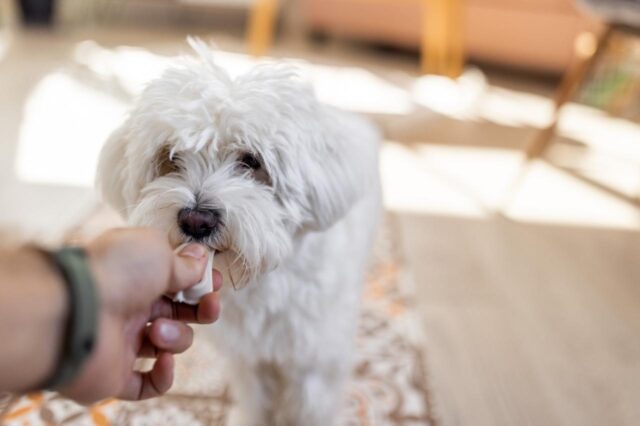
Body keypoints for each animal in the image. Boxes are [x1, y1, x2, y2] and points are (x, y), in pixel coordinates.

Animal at [95, 40, 380, 426]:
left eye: (251, 161)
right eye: (171, 158)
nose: (196, 220)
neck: (261, 281)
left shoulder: (312, 363)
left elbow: (309, 407)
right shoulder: (248, 358)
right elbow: (256, 399)